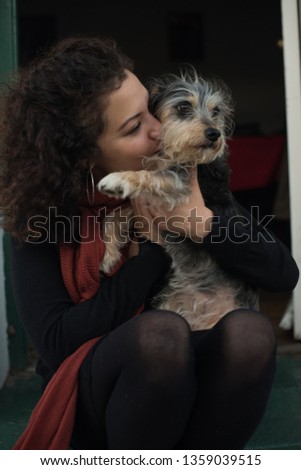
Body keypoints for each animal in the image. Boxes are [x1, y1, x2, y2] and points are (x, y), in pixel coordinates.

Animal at [96, 68, 258, 328]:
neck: (172, 154)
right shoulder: (143, 204)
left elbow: (148, 176)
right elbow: (112, 217)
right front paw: (109, 256)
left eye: (215, 111)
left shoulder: (178, 185)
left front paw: (118, 180)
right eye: (183, 107)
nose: (215, 133)